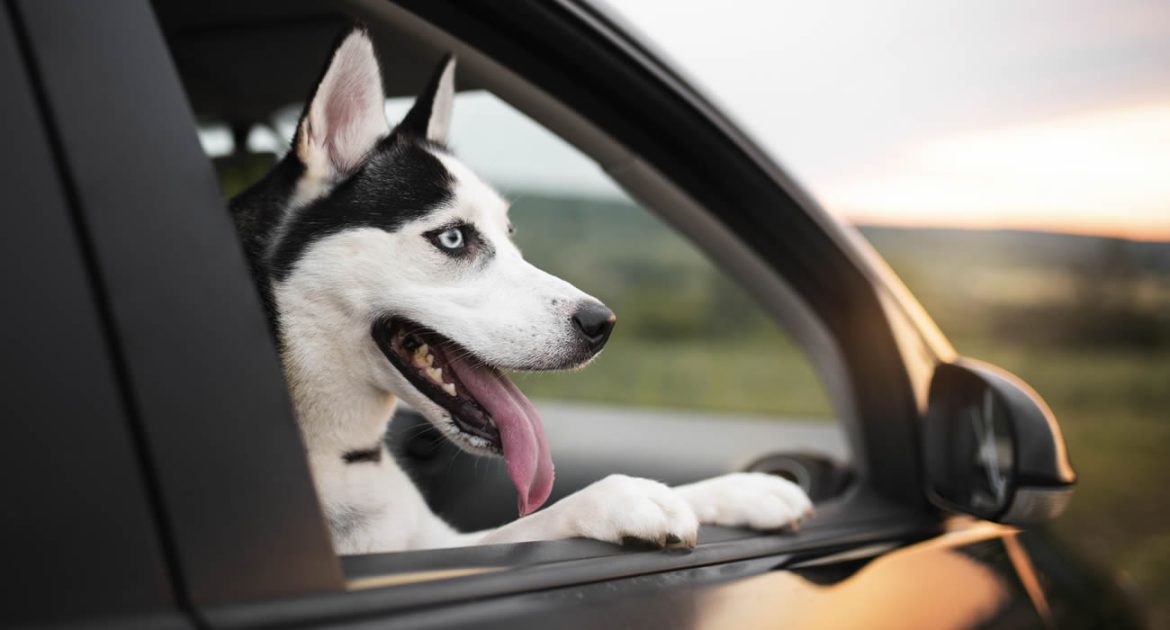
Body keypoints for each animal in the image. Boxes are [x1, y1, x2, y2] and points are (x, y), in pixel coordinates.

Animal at [228, 26, 814, 552]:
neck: (341, 454)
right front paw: (626, 496)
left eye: (510, 235)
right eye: (453, 237)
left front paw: (744, 490)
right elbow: (551, 513)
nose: (601, 324)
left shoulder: (431, 543)